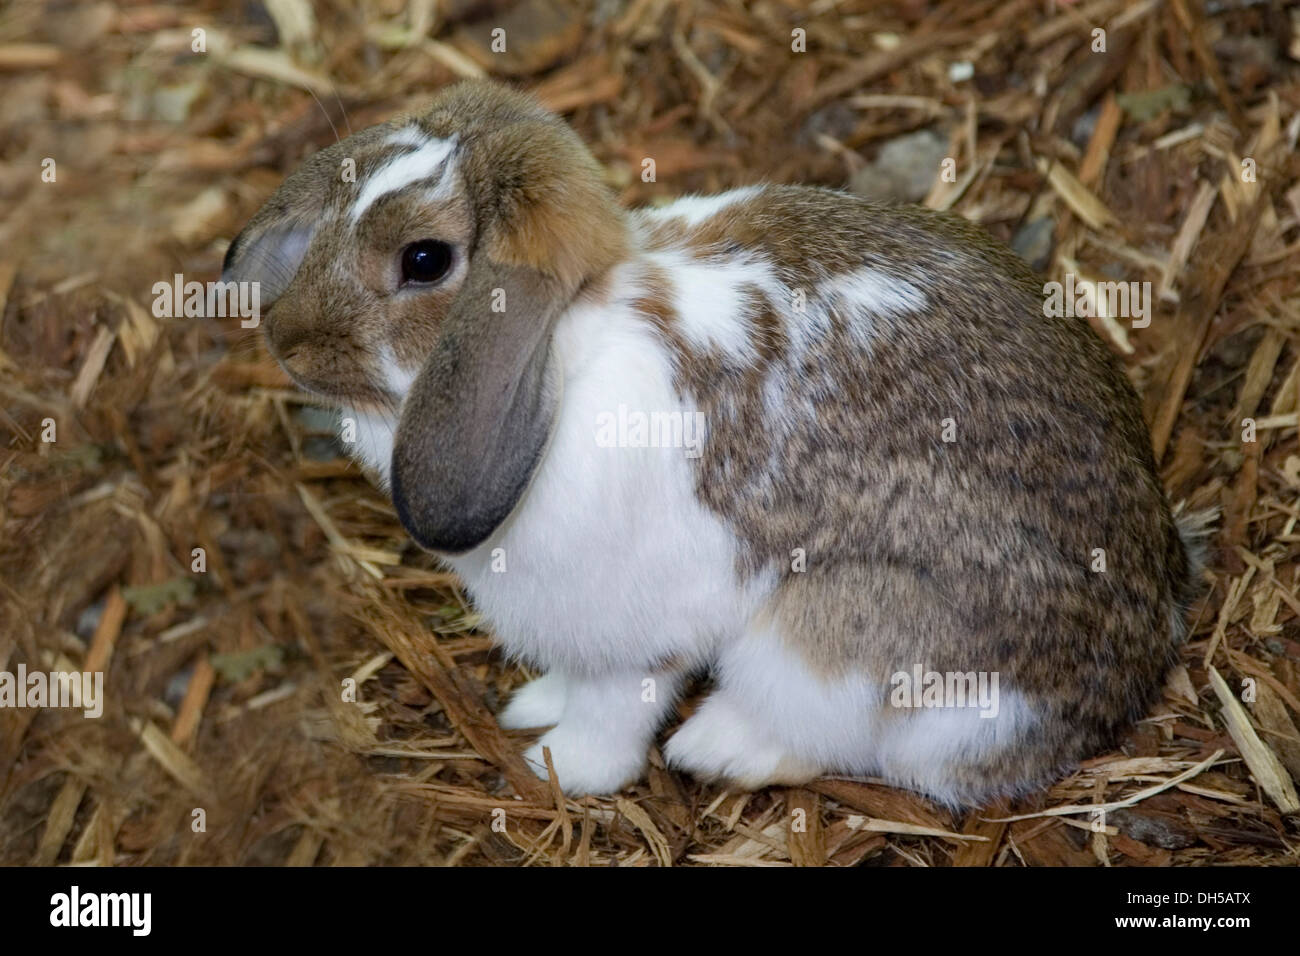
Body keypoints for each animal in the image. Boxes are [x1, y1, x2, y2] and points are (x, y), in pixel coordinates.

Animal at [226, 80, 1206, 806]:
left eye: (424, 262)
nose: (286, 340)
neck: (559, 348)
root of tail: (1123, 678)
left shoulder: (632, 632)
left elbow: (613, 713)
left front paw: (557, 767)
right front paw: (531, 709)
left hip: (832, 644)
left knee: (854, 746)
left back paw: (714, 748)